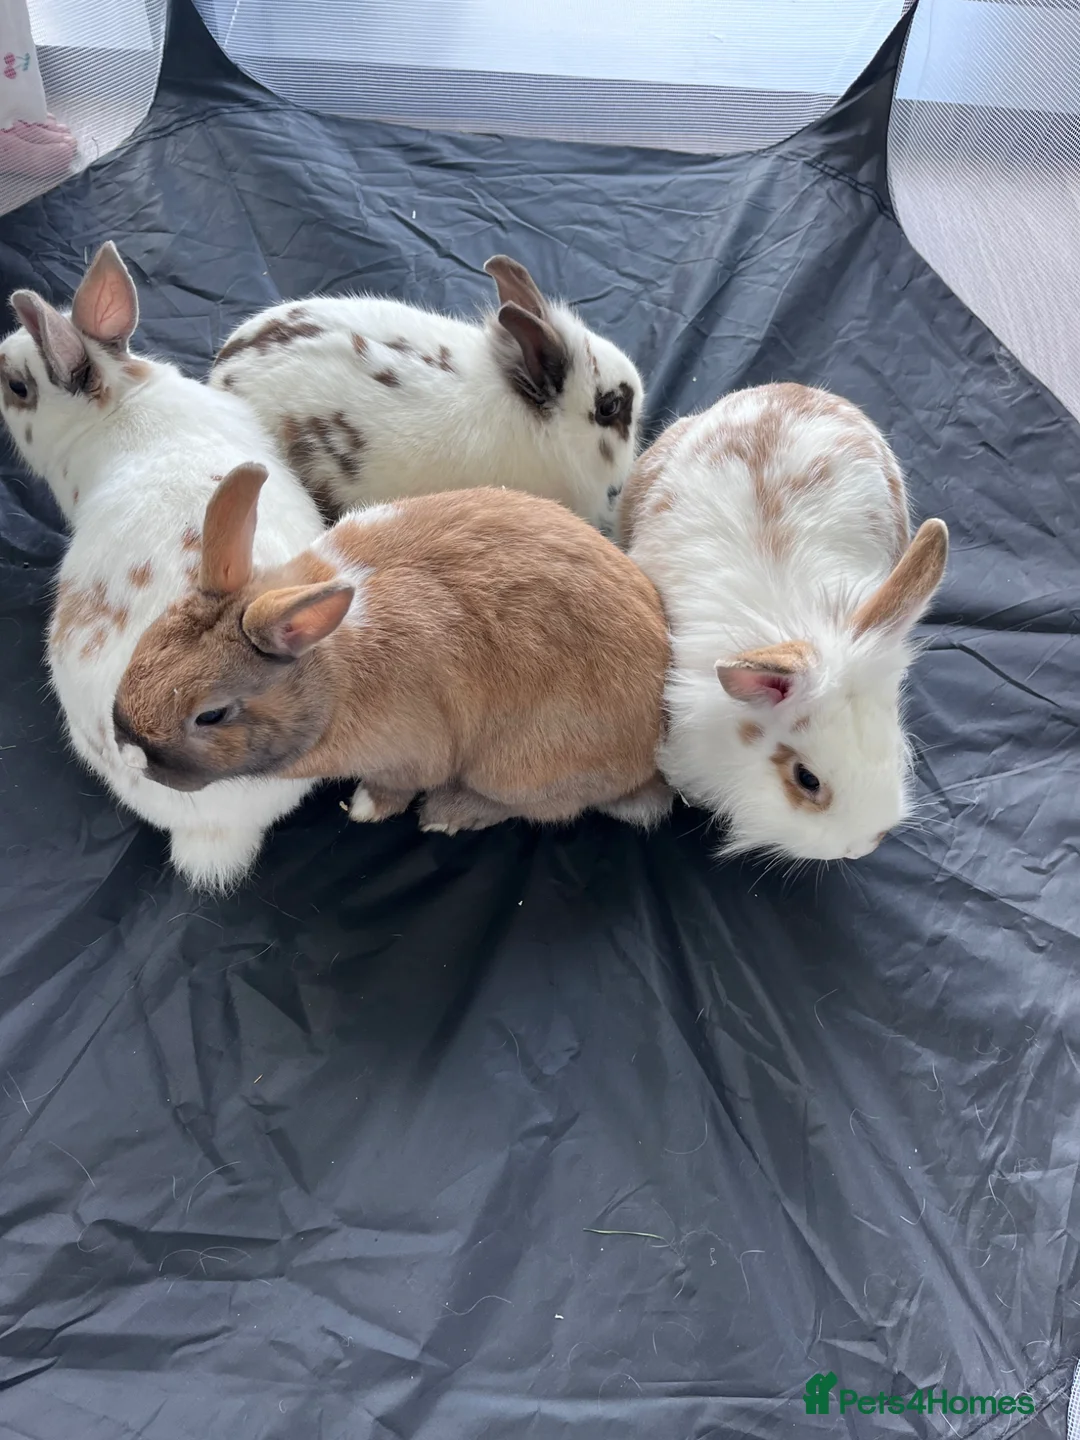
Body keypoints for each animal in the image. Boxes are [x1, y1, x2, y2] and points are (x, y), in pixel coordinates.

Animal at [111, 474, 673, 836]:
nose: (128, 750)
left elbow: (394, 787)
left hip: (517, 766)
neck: (330, 677)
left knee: (544, 807)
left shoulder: (408, 755)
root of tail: (647, 762)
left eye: (211, 715)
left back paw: (448, 813)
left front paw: (364, 808)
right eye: (143, 644)